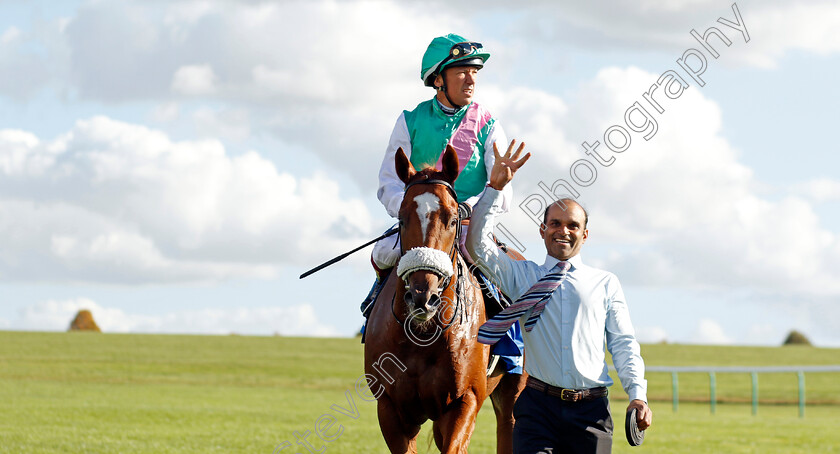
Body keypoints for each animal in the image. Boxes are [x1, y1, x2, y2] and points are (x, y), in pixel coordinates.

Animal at [366, 146, 524, 454]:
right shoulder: (390, 408)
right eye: (401, 219)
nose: (422, 297)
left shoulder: (465, 401)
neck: (422, 336)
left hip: (512, 391)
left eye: (452, 219)